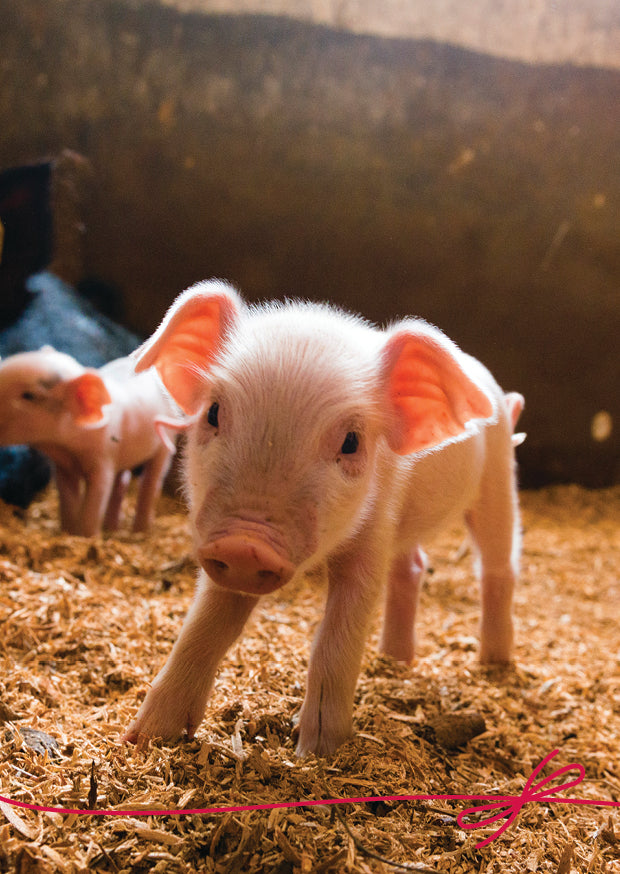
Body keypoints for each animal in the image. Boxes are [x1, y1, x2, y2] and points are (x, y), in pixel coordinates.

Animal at [0, 346, 180, 536]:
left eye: (28, 396)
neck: (67, 448)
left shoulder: (104, 458)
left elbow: (97, 497)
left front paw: (86, 535)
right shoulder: (63, 468)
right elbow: (68, 499)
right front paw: (69, 531)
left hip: (166, 440)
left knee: (151, 481)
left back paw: (140, 531)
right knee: (122, 483)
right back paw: (111, 528)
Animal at [123, 279, 522, 756]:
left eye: (351, 441)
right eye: (213, 412)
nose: (245, 544)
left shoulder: (373, 532)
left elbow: (336, 639)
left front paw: (318, 752)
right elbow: (204, 627)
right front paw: (144, 738)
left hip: (498, 476)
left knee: (498, 566)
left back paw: (494, 663)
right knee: (412, 565)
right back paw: (394, 658)